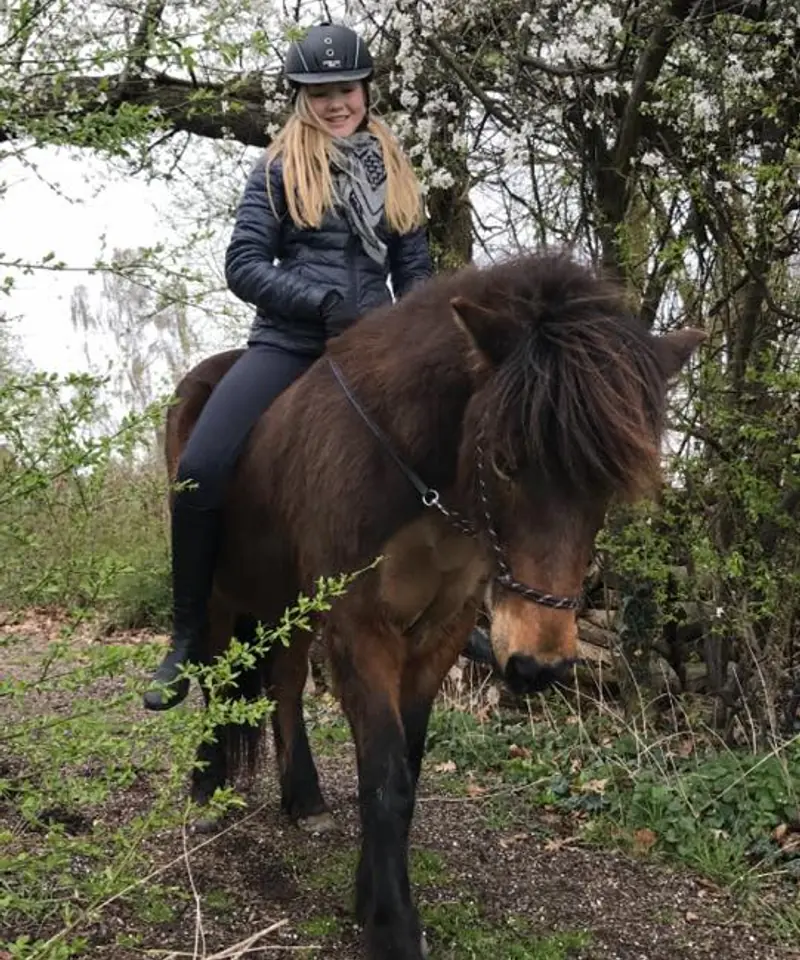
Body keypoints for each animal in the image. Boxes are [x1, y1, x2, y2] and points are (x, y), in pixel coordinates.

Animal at [164, 250, 704, 960]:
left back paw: (303, 798)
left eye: (606, 485)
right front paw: (392, 926)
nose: (539, 667)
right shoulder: (362, 629)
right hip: (222, 596)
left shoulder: (438, 633)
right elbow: (386, 775)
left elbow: (407, 770)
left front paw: (369, 892)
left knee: (282, 684)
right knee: (214, 681)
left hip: (293, 606)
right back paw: (206, 790)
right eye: (503, 461)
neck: (415, 481)